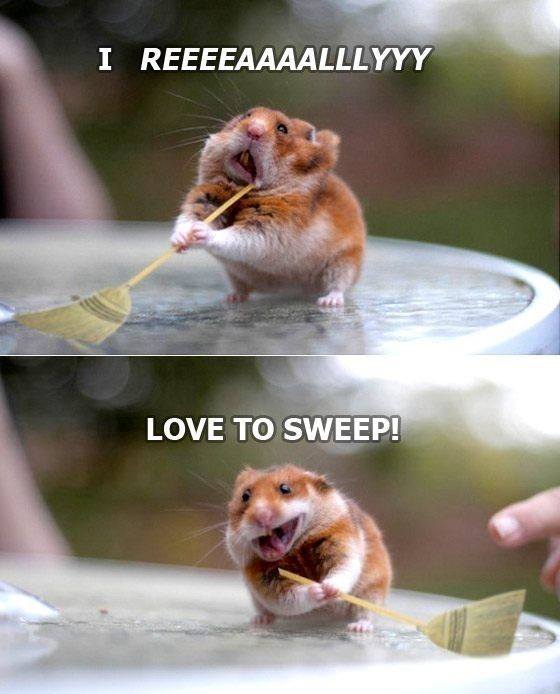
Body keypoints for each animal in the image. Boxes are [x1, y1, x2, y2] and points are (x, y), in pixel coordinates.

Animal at [170, 107, 366, 307]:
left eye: (282, 129)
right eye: (247, 115)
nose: (253, 131)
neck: (241, 190)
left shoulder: (270, 228)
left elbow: (234, 237)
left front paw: (201, 232)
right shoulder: (204, 200)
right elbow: (188, 219)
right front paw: (180, 239)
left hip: (344, 262)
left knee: (339, 284)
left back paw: (328, 301)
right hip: (234, 275)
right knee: (242, 288)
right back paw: (233, 298)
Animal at [226, 465, 392, 632]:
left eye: (285, 489)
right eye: (245, 496)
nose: (261, 516)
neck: (295, 548)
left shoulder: (342, 544)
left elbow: (343, 569)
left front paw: (328, 589)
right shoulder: (267, 584)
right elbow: (291, 597)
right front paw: (318, 590)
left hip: (372, 591)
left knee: (366, 613)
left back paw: (358, 627)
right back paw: (259, 621)